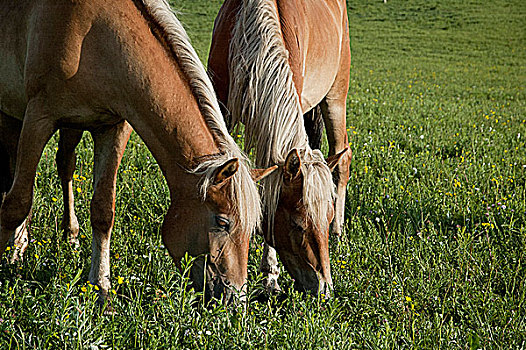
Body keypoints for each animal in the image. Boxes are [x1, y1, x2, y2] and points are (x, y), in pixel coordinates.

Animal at [0, 0, 278, 300]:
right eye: (223, 222)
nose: (235, 298)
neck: (92, 35)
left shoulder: (113, 128)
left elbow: (103, 209)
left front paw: (102, 287)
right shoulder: (38, 118)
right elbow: (17, 203)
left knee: (63, 165)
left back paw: (65, 237)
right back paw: (17, 246)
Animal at [208, 0, 352, 296]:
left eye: (327, 214)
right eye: (297, 224)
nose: (324, 289)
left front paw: (270, 275)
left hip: (335, 97)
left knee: (342, 158)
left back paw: (338, 231)